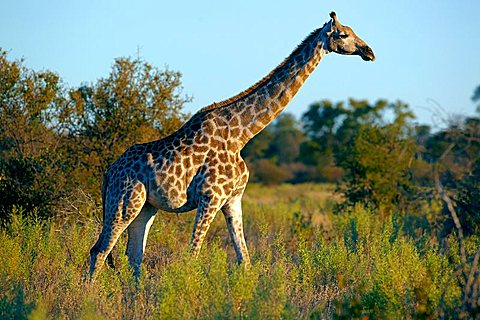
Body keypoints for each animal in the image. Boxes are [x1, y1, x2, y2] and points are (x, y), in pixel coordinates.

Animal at [89, 11, 376, 278]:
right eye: (343, 34)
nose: (369, 52)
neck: (241, 135)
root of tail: (109, 172)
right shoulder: (210, 198)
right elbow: (192, 256)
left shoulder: (233, 200)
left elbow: (245, 260)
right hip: (124, 202)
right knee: (99, 250)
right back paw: (91, 293)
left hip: (146, 207)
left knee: (133, 256)